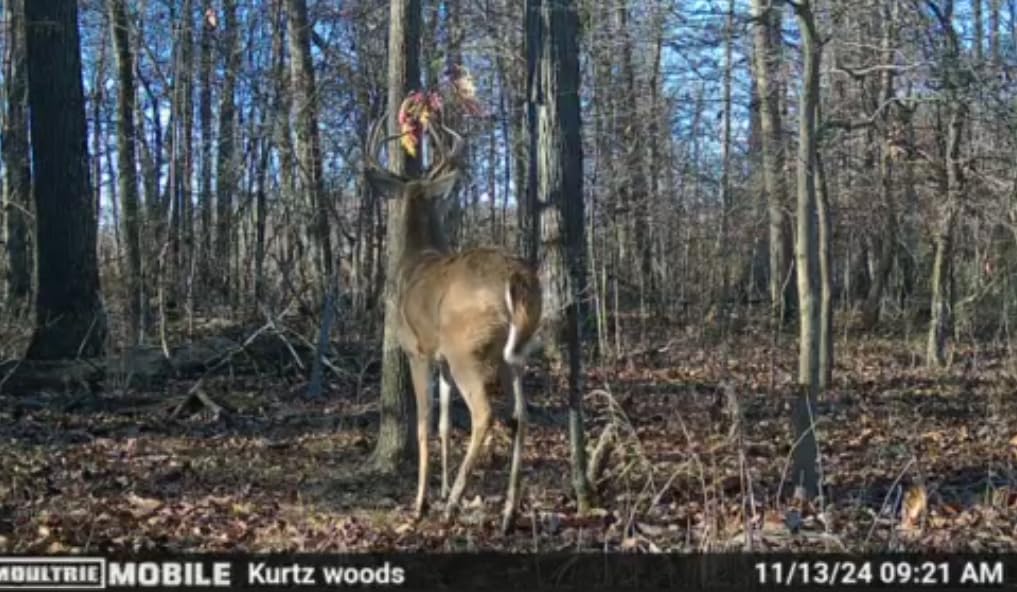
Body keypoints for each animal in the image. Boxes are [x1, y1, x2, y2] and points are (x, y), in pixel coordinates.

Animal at [364, 110, 542, 534]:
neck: (414, 261)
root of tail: (515, 276)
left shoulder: (418, 349)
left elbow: (424, 423)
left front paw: (422, 502)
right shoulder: (442, 360)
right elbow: (445, 423)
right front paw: (441, 489)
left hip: (469, 349)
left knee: (485, 414)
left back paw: (455, 504)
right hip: (514, 352)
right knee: (521, 416)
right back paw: (508, 512)